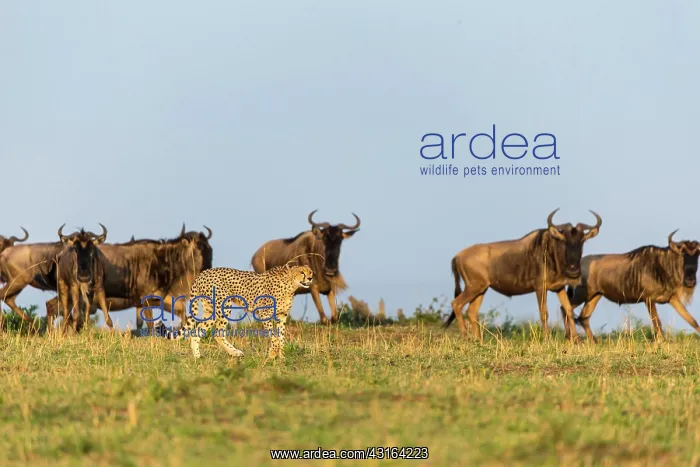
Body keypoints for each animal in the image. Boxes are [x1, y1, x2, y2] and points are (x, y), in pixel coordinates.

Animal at [156, 263, 313, 360]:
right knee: (217, 333)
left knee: (199, 331)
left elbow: (281, 337)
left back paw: (198, 356)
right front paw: (273, 354)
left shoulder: (282, 315)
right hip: (223, 306)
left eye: (310, 271)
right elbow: (274, 336)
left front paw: (281, 357)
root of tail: (202, 273)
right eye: (301, 272)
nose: (311, 278)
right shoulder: (265, 313)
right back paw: (234, 352)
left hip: (210, 309)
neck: (290, 284)